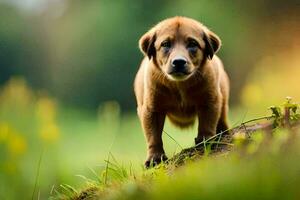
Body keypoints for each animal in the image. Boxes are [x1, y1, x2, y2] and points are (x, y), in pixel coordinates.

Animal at [134, 16, 230, 167]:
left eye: (193, 44)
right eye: (165, 44)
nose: (178, 62)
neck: (179, 85)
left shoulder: (210, 100)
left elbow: (207, 123)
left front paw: (205, 141)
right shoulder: (151, 109)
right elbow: (153, 136)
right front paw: (155, 157)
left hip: (223, 99)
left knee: (222, 120)